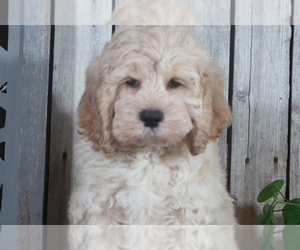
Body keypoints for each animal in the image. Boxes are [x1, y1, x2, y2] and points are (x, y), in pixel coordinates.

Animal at [69, 25, 238, 225]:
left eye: (175, 83)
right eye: (131, 82)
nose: (151, 117)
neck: (148, 154)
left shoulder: (188, 210)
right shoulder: (99, 209)